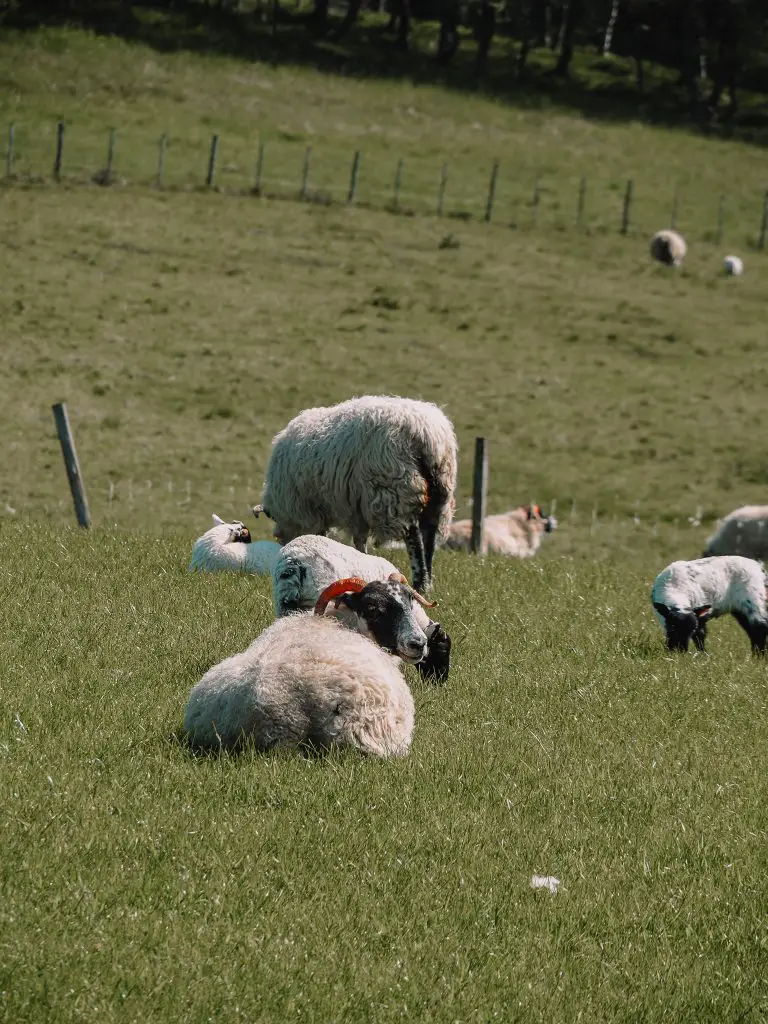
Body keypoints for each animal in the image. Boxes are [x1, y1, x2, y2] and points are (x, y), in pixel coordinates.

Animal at [252, 393, 456, 598]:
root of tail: (425, 432)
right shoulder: (357, 510)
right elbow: (359, 540)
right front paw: (363, 561)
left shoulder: (309, 510)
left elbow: (322, 536)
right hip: (440, 492)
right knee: (429, 536)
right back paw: (427, 582)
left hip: (396, 485)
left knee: (413, 537)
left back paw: (419, 582)